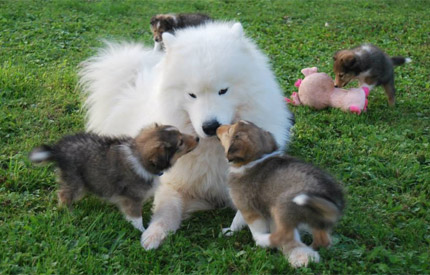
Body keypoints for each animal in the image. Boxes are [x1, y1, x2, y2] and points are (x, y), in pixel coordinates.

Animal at [28, 124, 200, 233]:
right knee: (64, 195)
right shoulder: (131, 198)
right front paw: (141, 230)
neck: (140, 158)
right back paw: (69, 212)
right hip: (75, 182)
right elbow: (136, 217)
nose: (198, 137)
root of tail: (57, 150)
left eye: (180, 133)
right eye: (180, 142)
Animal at [78, 21, 292, 250]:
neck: (214, 148)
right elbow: (166, 210)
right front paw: (153, 234)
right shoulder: (173, 182)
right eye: (192, 95)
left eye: (223, 90)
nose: (210, 126)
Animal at [217, 122, 344, 268]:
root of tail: (326, 192)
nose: (217, 127)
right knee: (324, 240)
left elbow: (246, 224)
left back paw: (264, 240)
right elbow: (238, 219)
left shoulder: (248, 208)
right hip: (316, 218)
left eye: (229, 130)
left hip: (281, 207)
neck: (255, 159)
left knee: (284, 235)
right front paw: (229, 231)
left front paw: (237, 233)